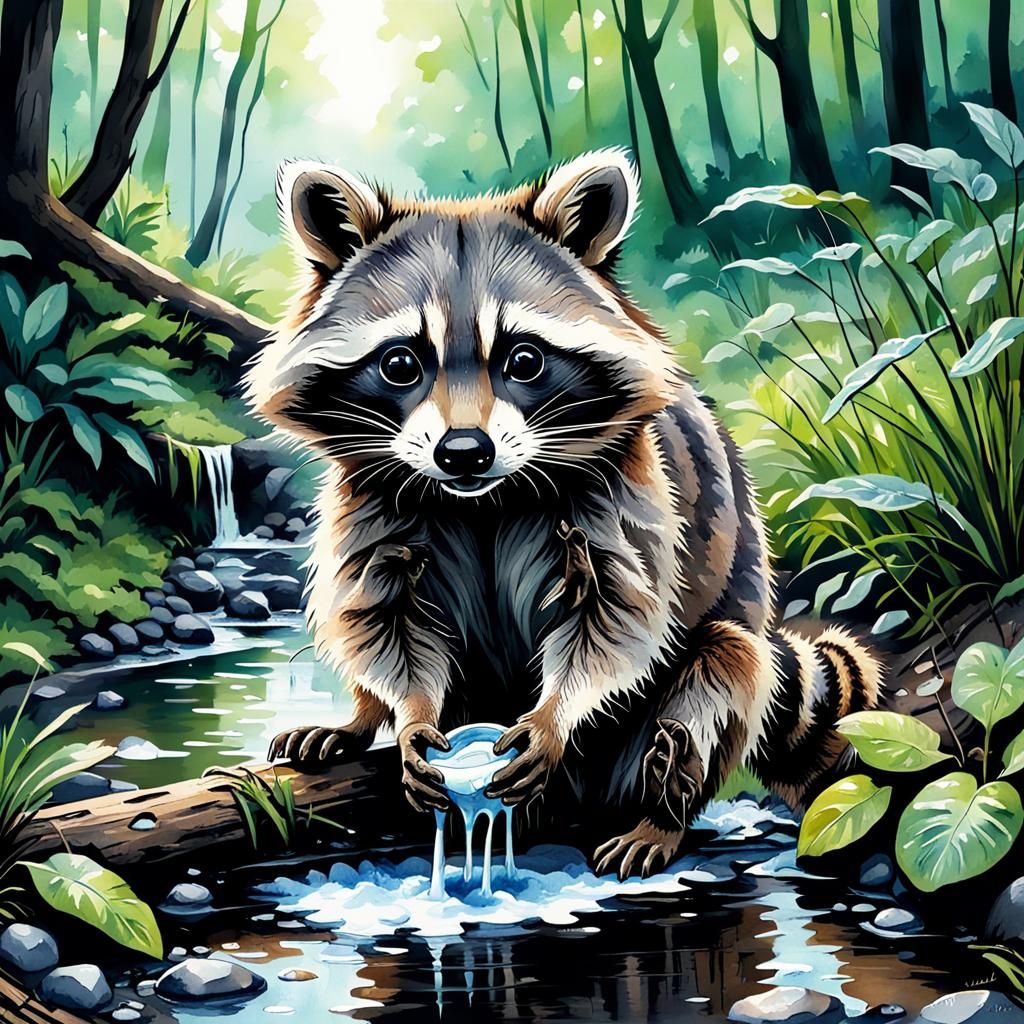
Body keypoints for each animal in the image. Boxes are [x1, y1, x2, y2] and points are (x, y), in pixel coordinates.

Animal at [247, 149, 882, 878]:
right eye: (402, 363)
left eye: (524, 359)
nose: (463, 451)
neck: (482, 499)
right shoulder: (375, 497)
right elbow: (383, 614)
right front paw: (409, 713)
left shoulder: (628, 489)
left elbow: (616, 616)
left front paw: (555, 714)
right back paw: (357, 719)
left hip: (687, 684)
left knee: (722, 671)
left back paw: (665, 805)